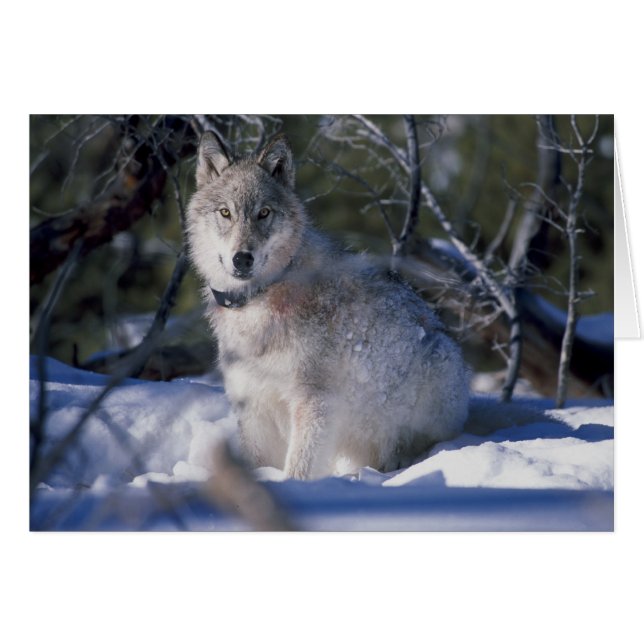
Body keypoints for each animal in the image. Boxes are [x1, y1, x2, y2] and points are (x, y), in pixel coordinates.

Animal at [187, 131, 471, 479]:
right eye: (225, 212)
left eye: (264, 213)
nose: (242, 258)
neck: (260, 299)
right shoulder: (252, 404)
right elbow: (256, 463)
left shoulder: (315, 401)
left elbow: (299, 467)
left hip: (435, 367)